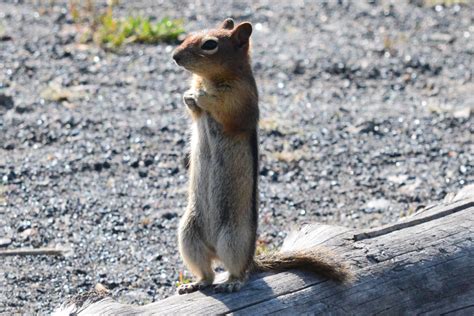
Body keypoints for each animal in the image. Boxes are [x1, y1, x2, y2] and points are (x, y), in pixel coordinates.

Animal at [172, 17, 350, 294]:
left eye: (210, 45)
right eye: (189, 36)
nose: (175, 56)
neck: (211, 79)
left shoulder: (241, 100)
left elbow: (225, 109)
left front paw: (201, 97)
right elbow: (195, 110)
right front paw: (189, 97)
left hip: (233, 239)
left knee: (238, 271)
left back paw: (232, 283)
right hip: (188, 235)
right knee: (208, 274)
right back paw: (195, 284)